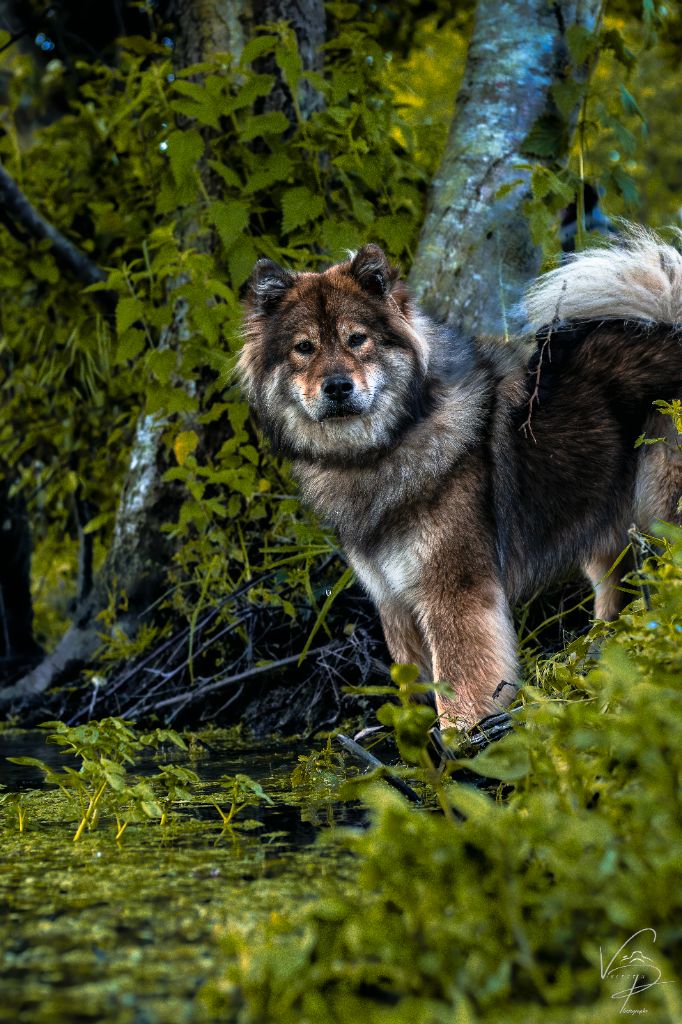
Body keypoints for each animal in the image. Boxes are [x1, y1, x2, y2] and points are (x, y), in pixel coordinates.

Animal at [237, 232, 679, 729]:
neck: (383, 448)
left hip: (661, 505)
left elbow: (460, 688)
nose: (337, 387)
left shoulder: (453, 593)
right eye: (305, 347)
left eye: (357, 339)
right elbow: (414, 689)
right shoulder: (394, 602)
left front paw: (466, 741)